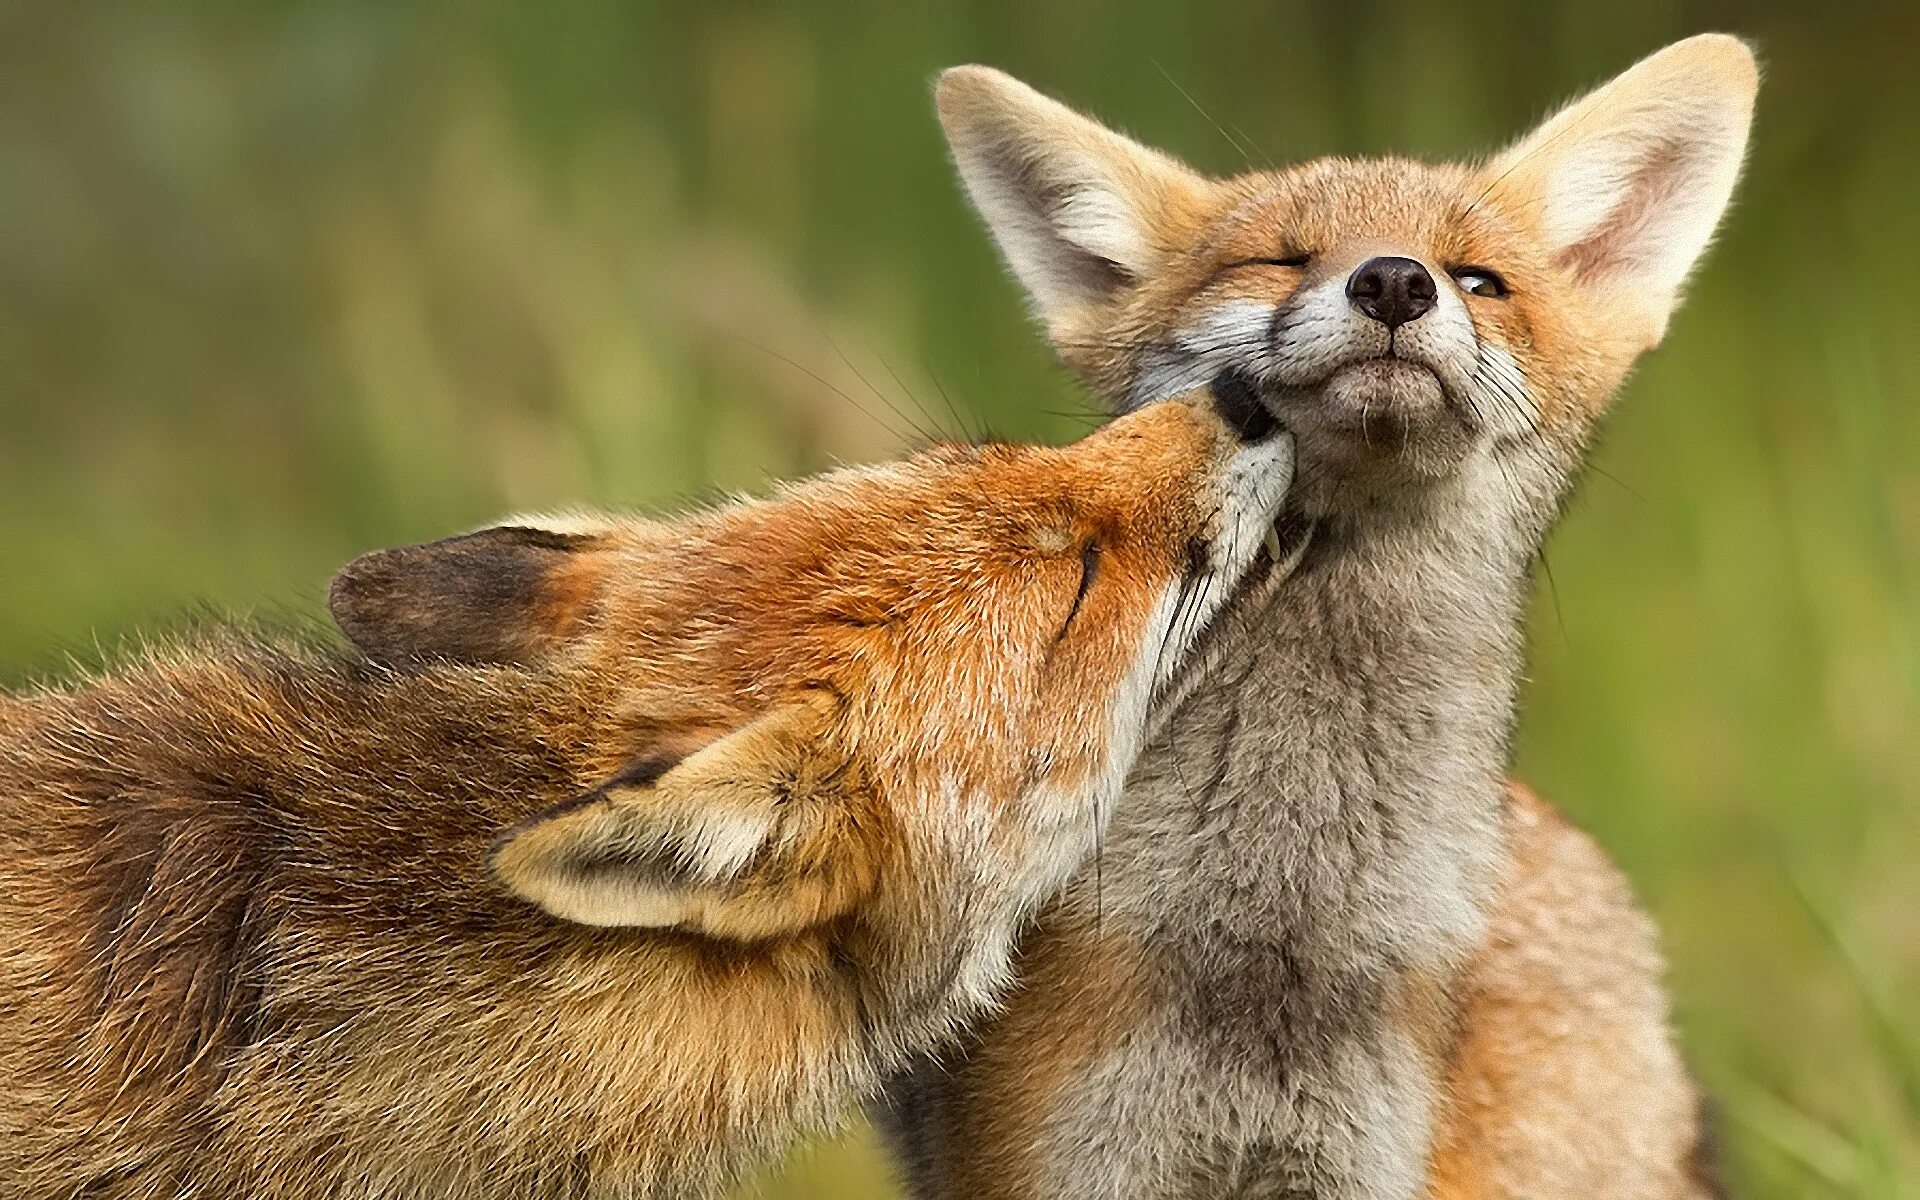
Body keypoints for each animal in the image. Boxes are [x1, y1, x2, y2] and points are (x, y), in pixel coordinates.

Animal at [883, 30, 1758, 1198]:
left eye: (1481, 281)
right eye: (1284, 261)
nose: (1393, 280)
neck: (1275, 939)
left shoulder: (1356, 1161)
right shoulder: (1061, 1155)